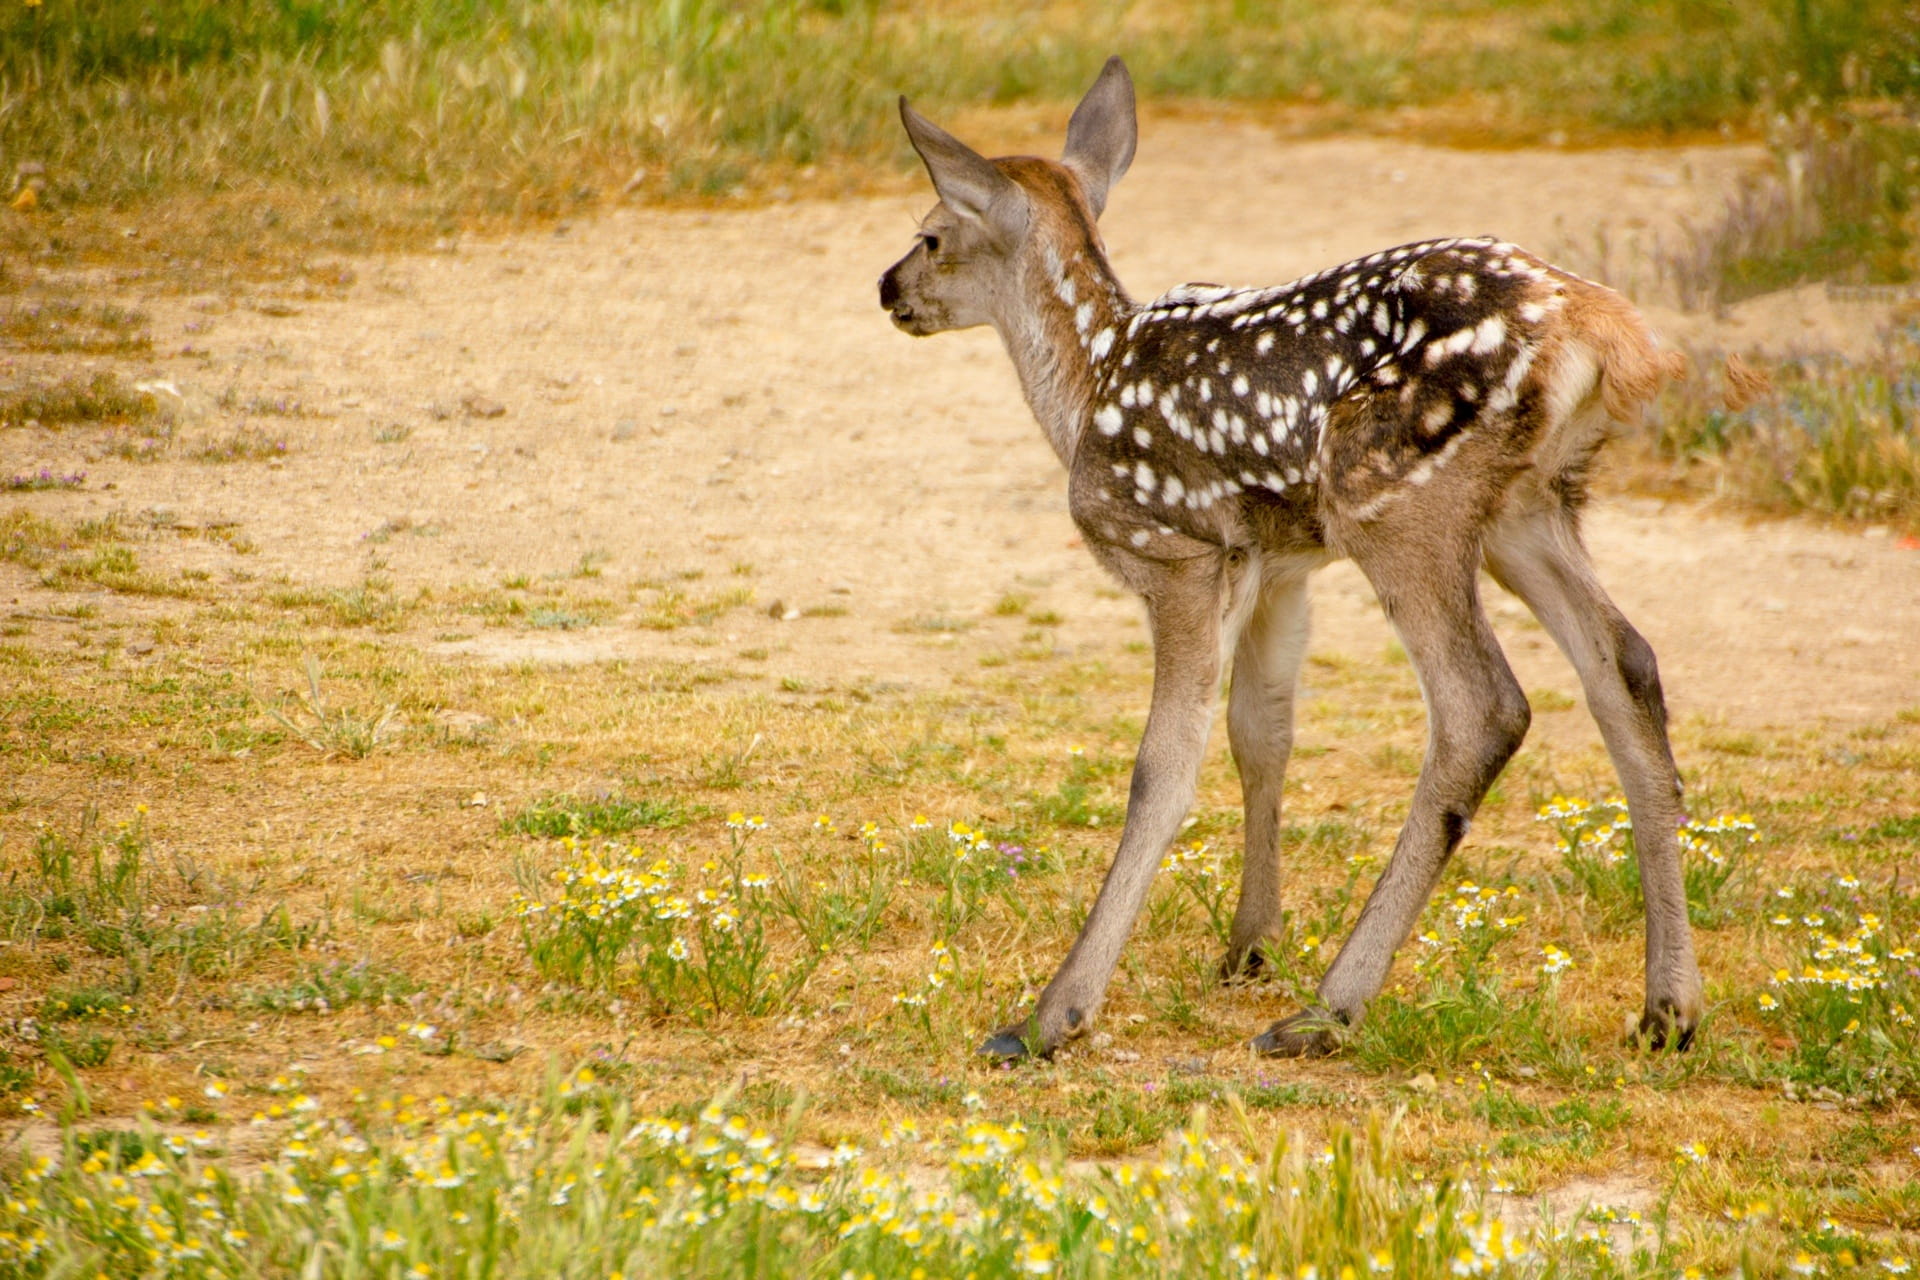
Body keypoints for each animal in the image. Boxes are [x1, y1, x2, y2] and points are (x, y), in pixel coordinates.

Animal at [877, 57, 1703, 1062]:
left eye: (930, 232)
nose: (886, 288)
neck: (1084, 385)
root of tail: (1601, 327)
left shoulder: (1180, 554)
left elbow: (1163, 765)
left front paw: (1053, 1015)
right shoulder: (1279, 570)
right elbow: (1260, 733)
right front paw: (1249, 944)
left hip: (1395, 502)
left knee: (1483, 706)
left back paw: (1328, 1009)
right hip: (1528, 509)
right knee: (1627, 664)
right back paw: (1668, 1009)